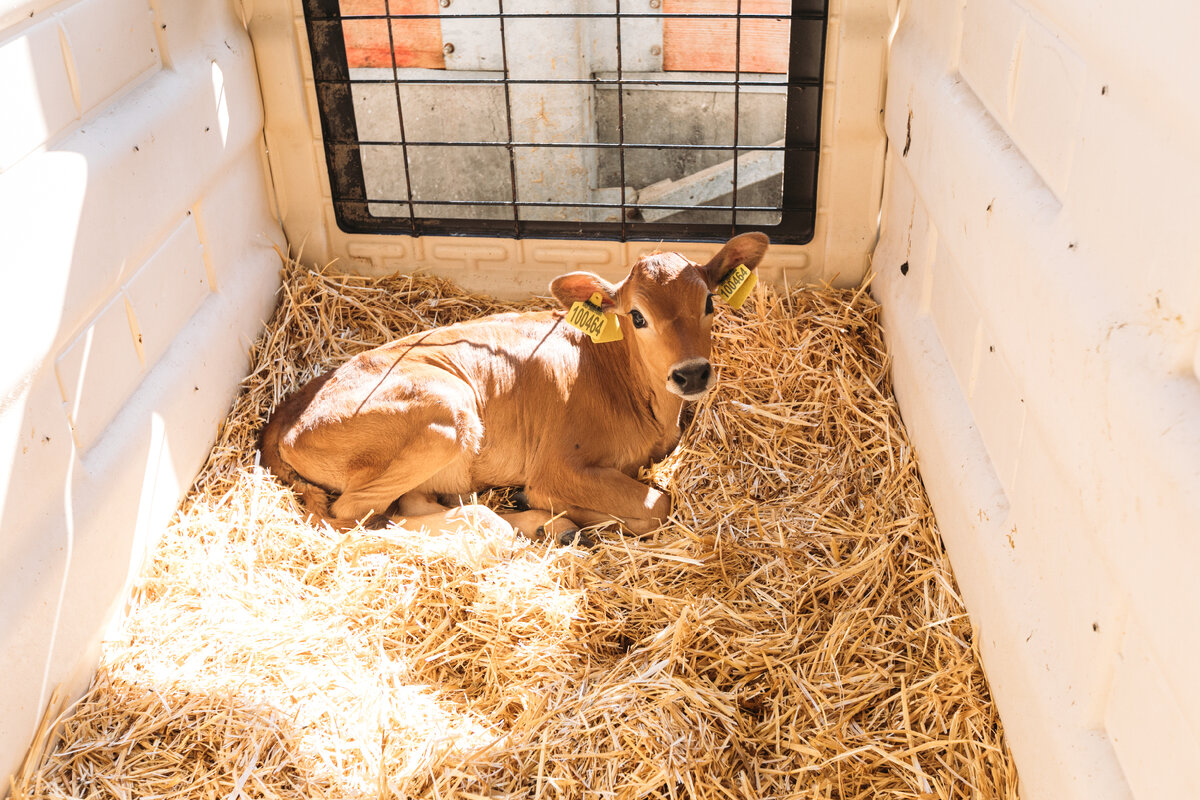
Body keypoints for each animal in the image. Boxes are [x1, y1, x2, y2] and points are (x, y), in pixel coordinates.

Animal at [261, 235, 768, 542]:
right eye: (637, 316)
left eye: (709, 302)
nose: (692, 373)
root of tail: (284, 417)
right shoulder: (558, 466)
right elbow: (659, 503)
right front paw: (555, 507)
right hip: (448, 413)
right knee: (355, 514)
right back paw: (521, 521)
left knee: (409, 503)